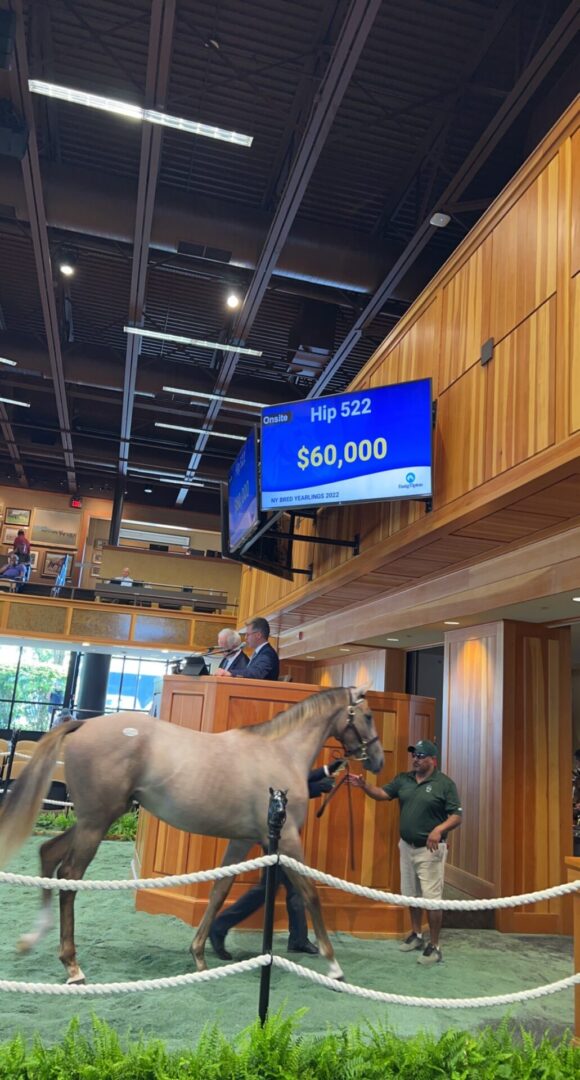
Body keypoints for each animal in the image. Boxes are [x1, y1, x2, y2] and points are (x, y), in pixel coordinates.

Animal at [0, 686, 382, 984]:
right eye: (368, 715)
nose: (378, 759)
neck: (279, 753)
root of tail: (83, 724)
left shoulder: (245, 839)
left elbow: (219, 890)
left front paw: (199, 955)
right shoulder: (286, 839)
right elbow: (309, 893)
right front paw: (333, 965)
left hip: (94, 819)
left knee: (48, 853)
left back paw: (33, 939)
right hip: (97, 822)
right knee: (70, 877)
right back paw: (72, 965)